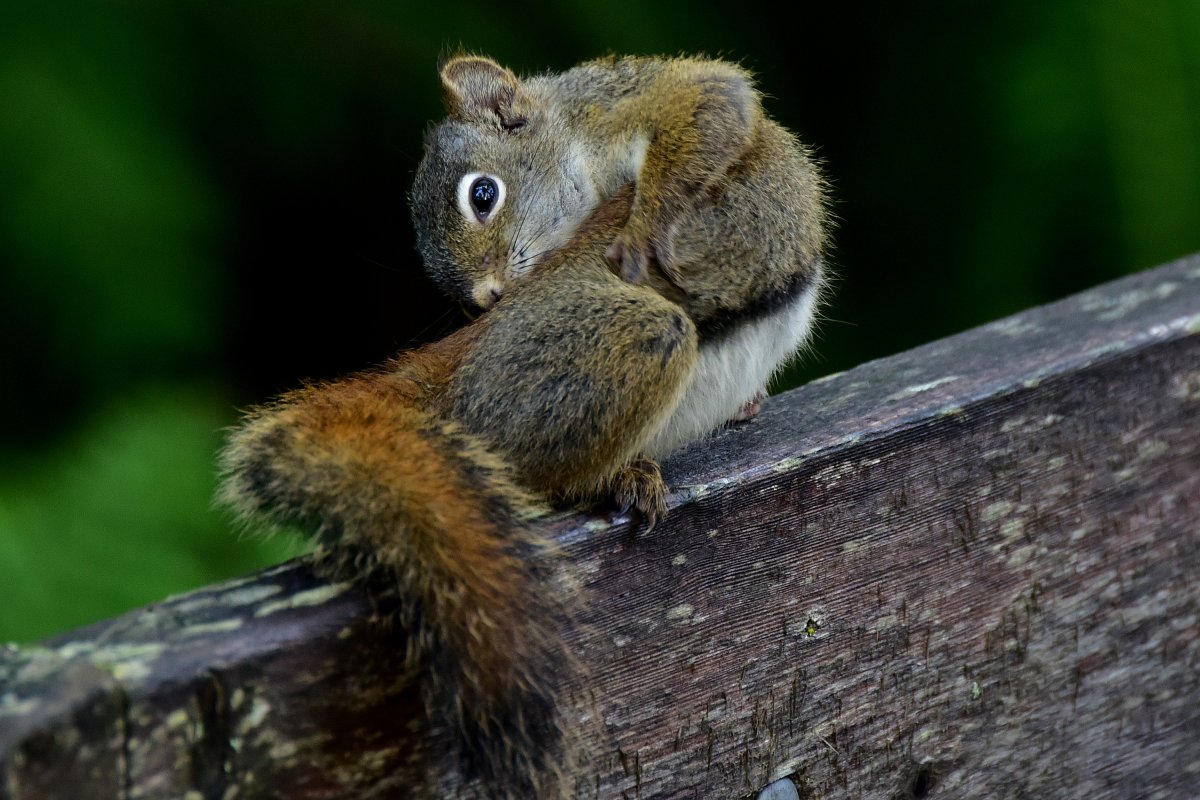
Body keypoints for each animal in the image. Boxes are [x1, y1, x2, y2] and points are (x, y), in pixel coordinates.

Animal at [410, 54, 825, 455]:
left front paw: (642, 230)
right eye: (464, 306)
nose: (488, 298)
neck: (571, 135)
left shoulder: (615, 109)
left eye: (483, 195)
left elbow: (708, 95)